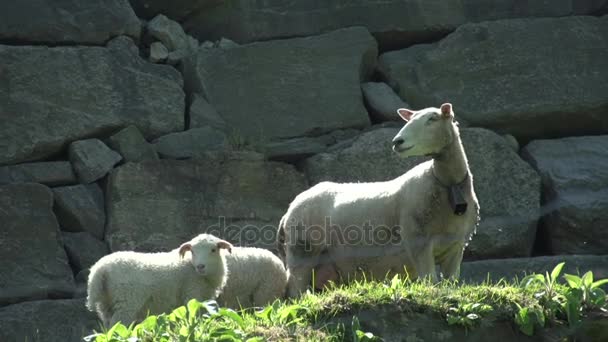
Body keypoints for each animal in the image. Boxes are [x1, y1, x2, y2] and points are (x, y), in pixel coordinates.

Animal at [86, 232, 234, 326]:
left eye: (213, 250)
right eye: (192, 251)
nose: (200, 266)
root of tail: (100, 269)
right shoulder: (193, 295)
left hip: (106, 304)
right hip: (126, 302)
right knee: (118, 326)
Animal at [278, 102, 482, 296]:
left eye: (432, 119)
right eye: (409, 120)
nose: (397, 141)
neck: (447, 183)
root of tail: (289, 210)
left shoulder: (456, 246)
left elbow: (451, 283)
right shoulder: (418, 242)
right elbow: (430, 281)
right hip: (302, 251)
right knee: (295, 291)